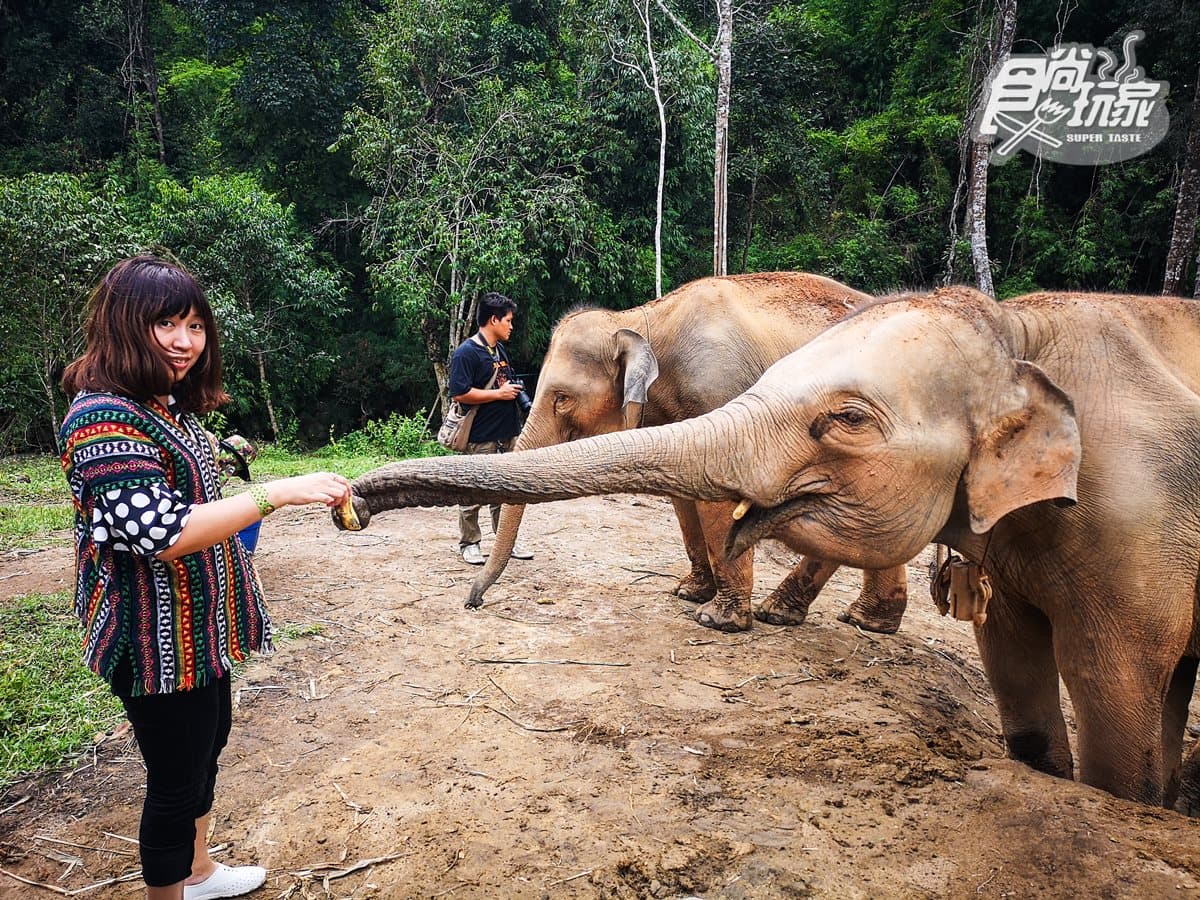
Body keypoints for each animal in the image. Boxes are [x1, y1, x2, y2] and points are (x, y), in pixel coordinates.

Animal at [474, 271, 910, 633]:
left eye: (561, 398)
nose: (473, 602)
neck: (644, 319)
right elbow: (682, 494)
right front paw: (689, 592)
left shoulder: (720, 388)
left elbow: (720, 494)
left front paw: (717, 620)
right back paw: (859, 620)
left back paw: (799, 613)